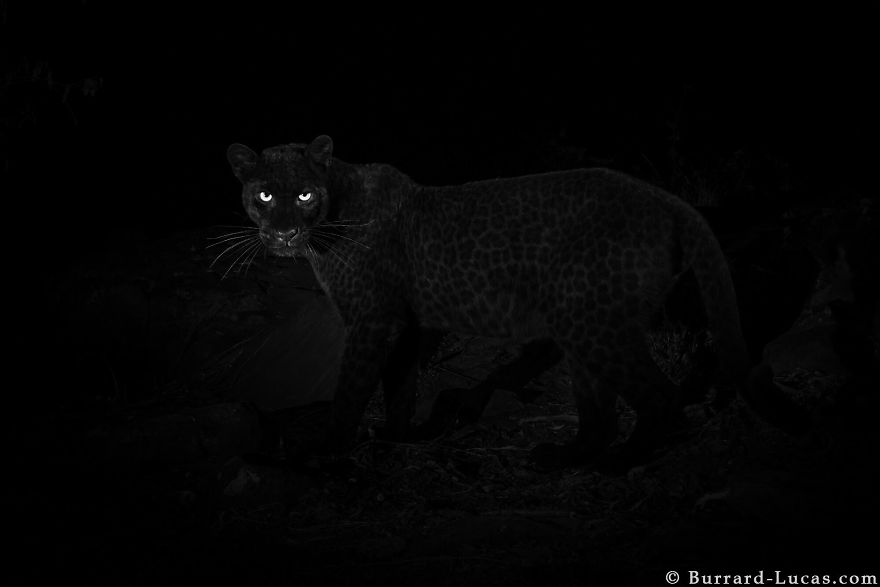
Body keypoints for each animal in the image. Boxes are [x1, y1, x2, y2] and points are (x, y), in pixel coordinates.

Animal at [226, 135, 797, 467]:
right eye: (264, 195)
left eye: (303, 194)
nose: (282, 233)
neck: (333, 211)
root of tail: (670, 200)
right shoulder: (407, 325)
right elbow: (400, 385)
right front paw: (396, 438)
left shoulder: (372, 321)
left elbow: (352, 387)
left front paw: (328, 449)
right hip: (582, 322)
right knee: (602, 408)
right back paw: (567, 454)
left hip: (596, 324)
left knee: (659, 395)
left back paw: (623, 459)